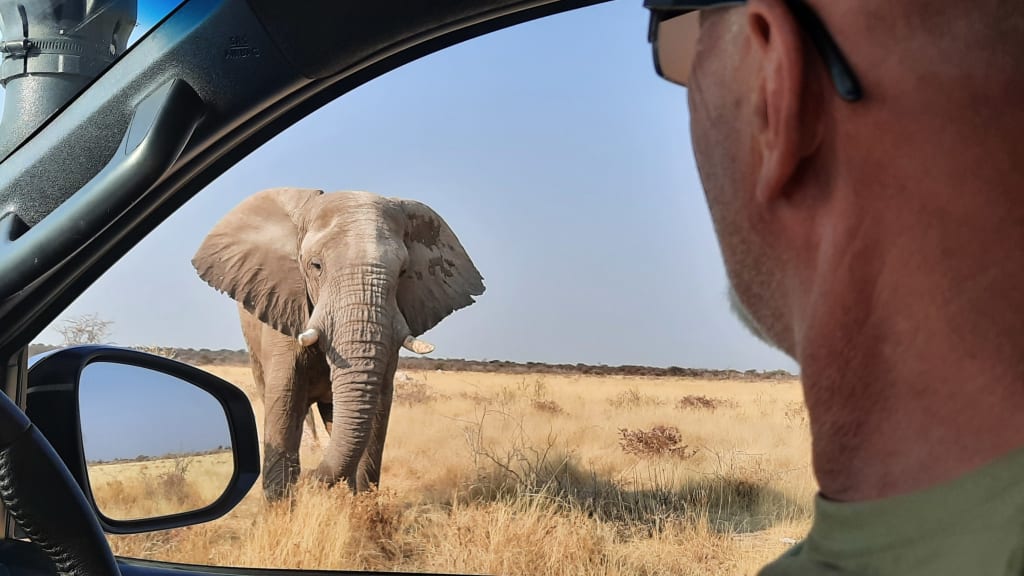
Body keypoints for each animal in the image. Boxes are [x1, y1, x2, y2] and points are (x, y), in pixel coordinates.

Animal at [191, 188, 485, 500]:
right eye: (316, 266)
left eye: (403, 272)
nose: (309, 479)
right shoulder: (285, 305)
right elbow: (285, 400)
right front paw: (283, 505)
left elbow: (378, 405)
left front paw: (361, 505)